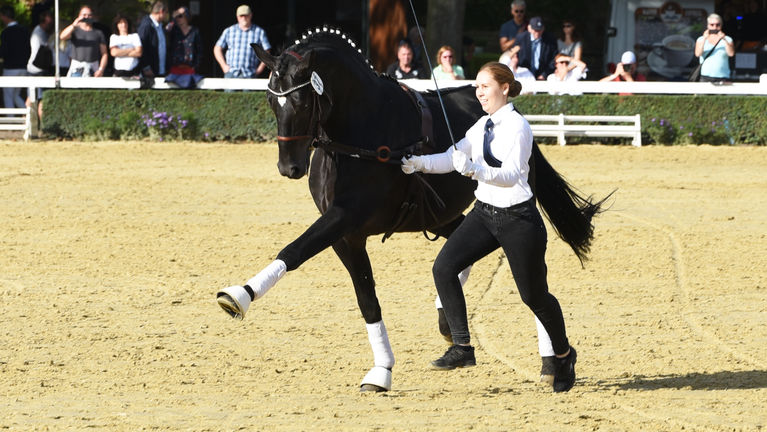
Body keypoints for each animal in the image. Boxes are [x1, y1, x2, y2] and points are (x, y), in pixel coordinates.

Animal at [218, 27, 612, 392]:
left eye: (301, 102)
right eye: (271, 100)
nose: (290, 167)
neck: (361, 131)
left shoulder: (345, 218)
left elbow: (297, 249)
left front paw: (239, 296)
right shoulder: (346, 236)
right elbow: (366, 299)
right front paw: (381, 371)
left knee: (530, 285)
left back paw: (550, 361)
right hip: (441, 215)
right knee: (470, 258)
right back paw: (450, 320)